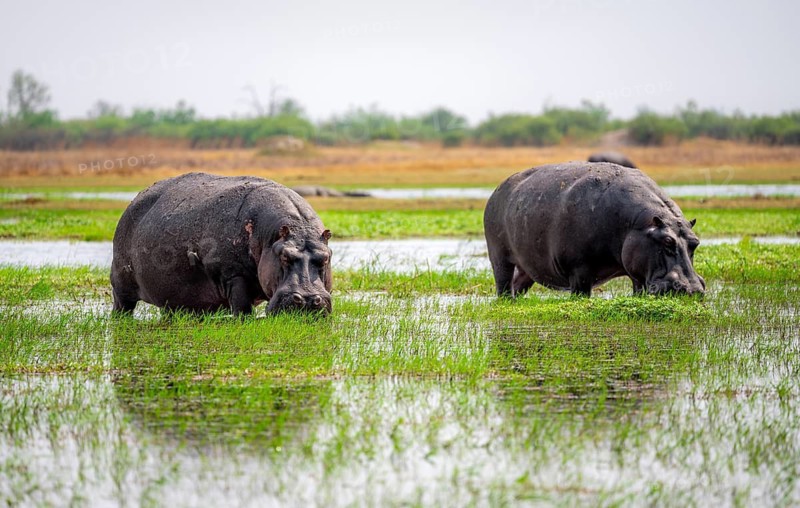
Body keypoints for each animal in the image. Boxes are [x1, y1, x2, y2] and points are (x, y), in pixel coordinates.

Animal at [111, 172, 332, 316]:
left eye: (325, 257)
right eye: (284, 256)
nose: (307, 299)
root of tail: (135, 199)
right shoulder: (233, 276)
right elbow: (242, 311)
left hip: (175, 298)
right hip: (121, 285)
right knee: (122, 307)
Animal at [484, 162, 705, 297]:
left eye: (695, 242)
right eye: (667, 241)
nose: (693, 289)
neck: (638, 225)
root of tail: (498, 188)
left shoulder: (638, 275)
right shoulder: (579, 271)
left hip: (527, 266)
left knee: (518, 284)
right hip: (500, 257)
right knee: (503, 285)